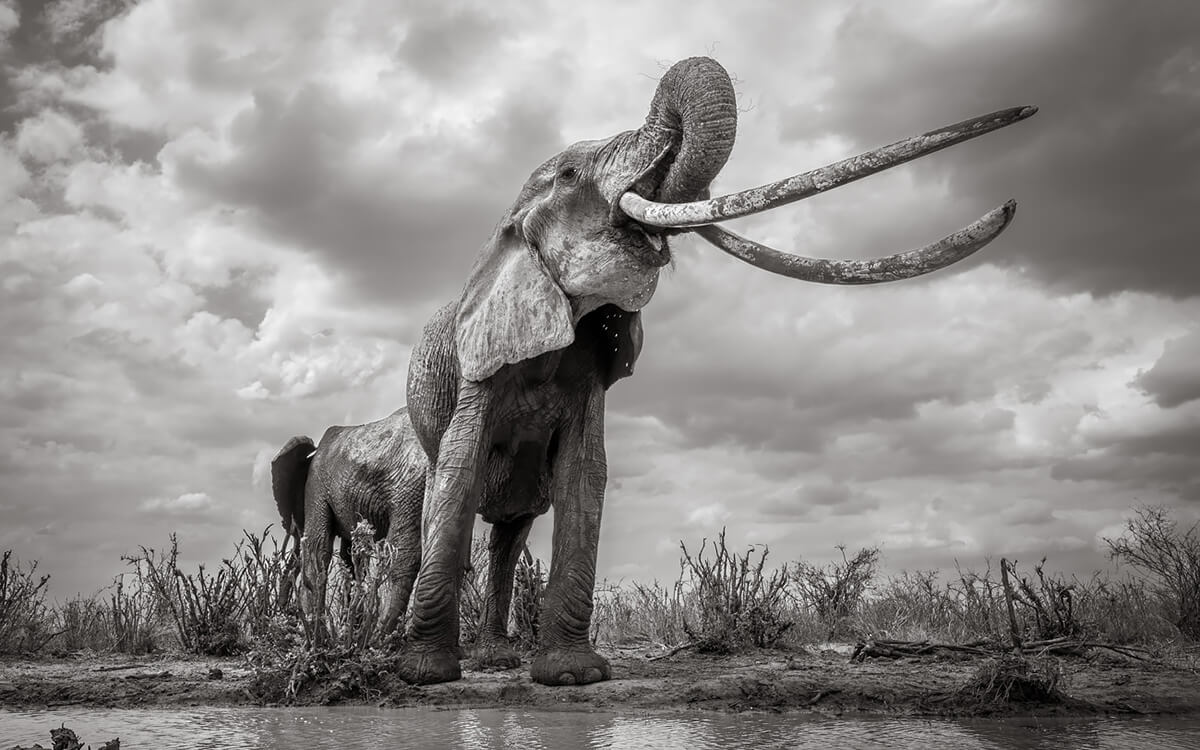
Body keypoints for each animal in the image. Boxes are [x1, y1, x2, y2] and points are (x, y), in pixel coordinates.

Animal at [271, 403, 427, 638]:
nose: (286, 614)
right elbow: (350, 558)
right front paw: (345, 630)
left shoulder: (316, 486)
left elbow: (317, 549)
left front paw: (316, 635)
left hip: (410, 485)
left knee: (402, 551)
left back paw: (378, 638)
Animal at [391, 54, 1032, 686]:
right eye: (570, 174)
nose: (1026, 111)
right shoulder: (476, 362)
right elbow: (461, 467)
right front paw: (425, 675)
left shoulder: (589, 367)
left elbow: (584, 473)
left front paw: (574, 676)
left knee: (511, 530)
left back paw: (494, 659)